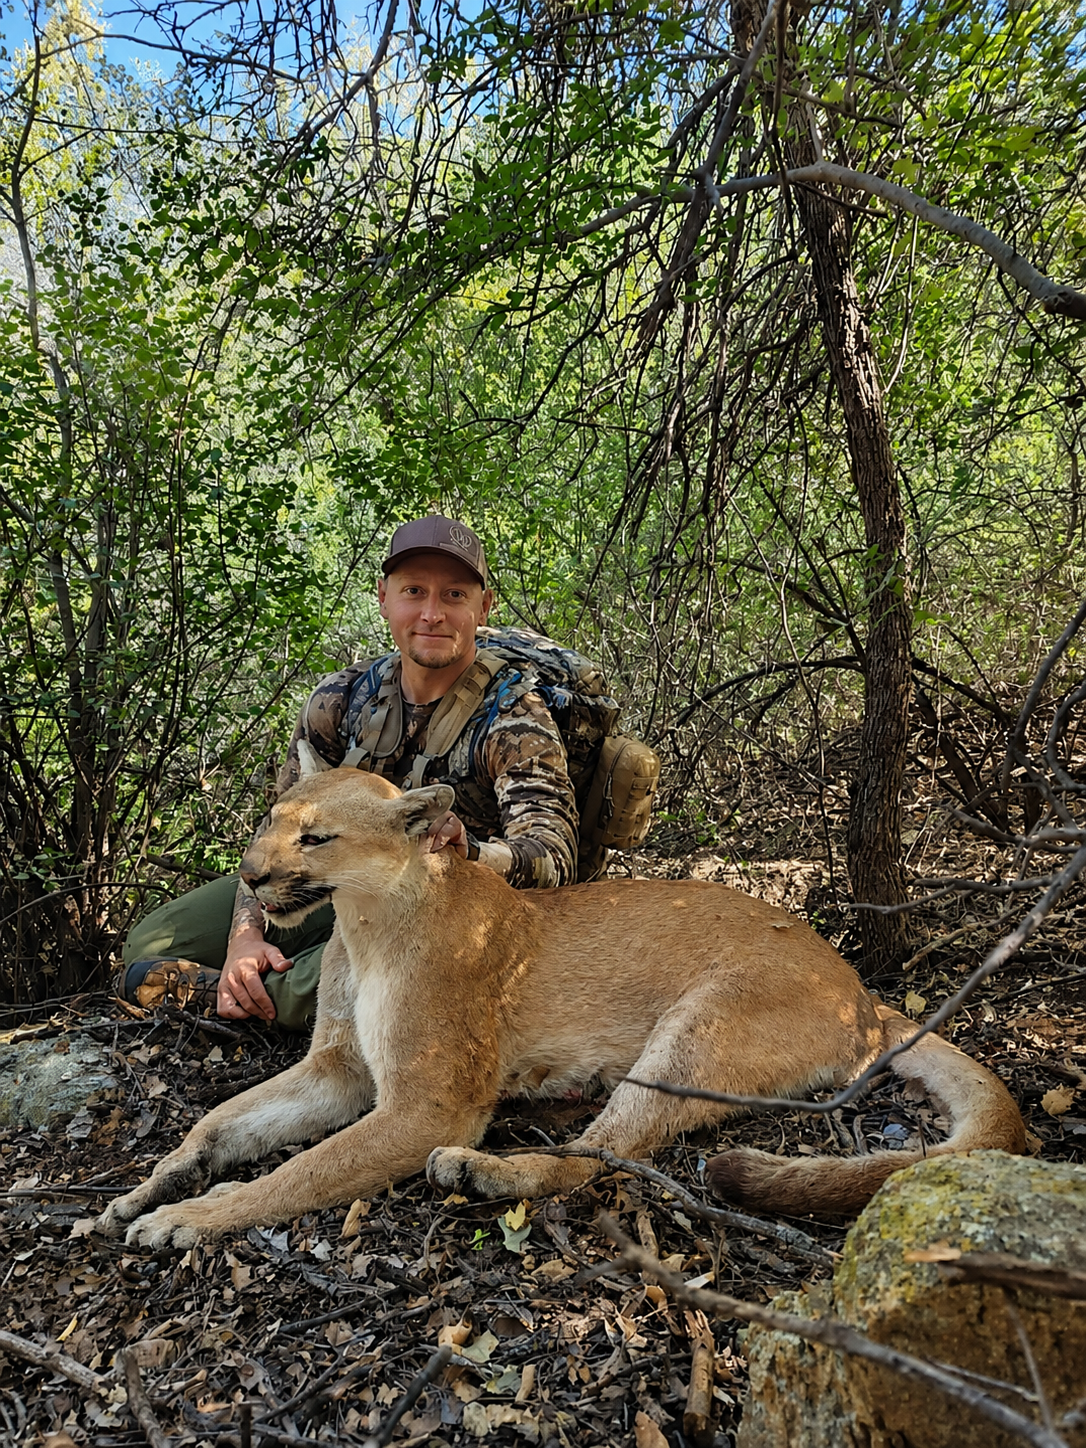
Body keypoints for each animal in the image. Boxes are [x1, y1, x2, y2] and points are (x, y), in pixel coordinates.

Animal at [99, 765, 1026, 1249]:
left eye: (316, 837)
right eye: (268, 821)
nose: (251, 875)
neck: (362, 930)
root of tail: (861, 990)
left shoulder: (428, 1103)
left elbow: (298, 1173)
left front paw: (191, 1216)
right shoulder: (338, 1068)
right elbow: (224, 1120)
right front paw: (151, 1186)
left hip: (697, 1029)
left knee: (604, 1157)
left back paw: (485, 1171)